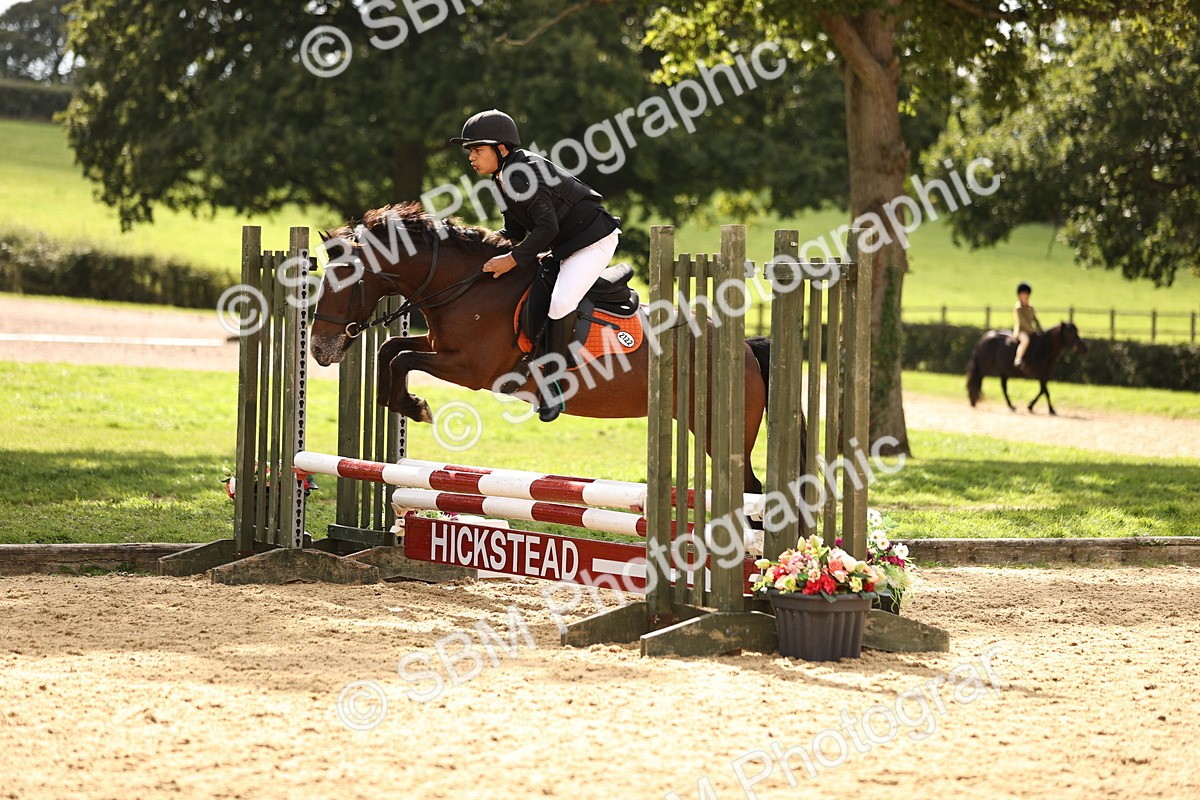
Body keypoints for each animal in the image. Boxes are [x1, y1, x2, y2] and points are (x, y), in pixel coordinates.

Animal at [308, 203, 792, 495]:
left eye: (346, 279)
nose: (317, 350)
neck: (469, 285)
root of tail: (746, 350)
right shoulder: (437, 345)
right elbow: (392, 350)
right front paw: (406, 402)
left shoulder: (471, 369)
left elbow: (404, 357)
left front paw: (416, 406)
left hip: (717, 432)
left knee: (750, 491)